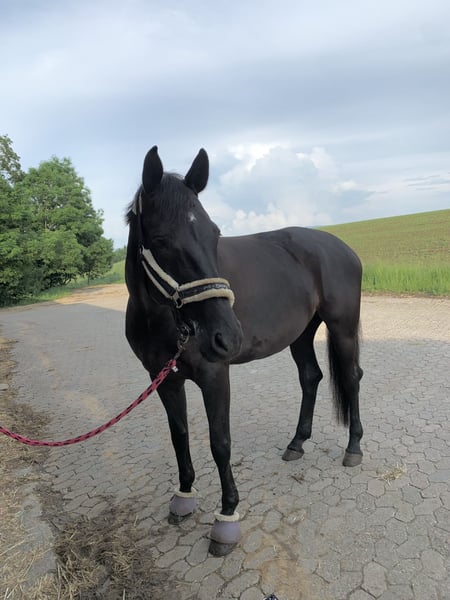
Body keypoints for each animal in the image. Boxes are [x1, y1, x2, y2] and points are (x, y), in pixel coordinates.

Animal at [125, 146, 364, 556]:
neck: (160, 318)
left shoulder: (214, 376)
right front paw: (183, 497)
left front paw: (226, 518)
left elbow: (220, 443)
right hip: (301, 335)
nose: (228, 337)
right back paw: (297, 443)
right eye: (160, 239)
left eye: (214, 234)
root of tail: (341, 247)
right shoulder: (163, 379)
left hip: (343, 329)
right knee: (311, 377)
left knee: (350, 378)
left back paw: (354, 448)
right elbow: (179, 436)